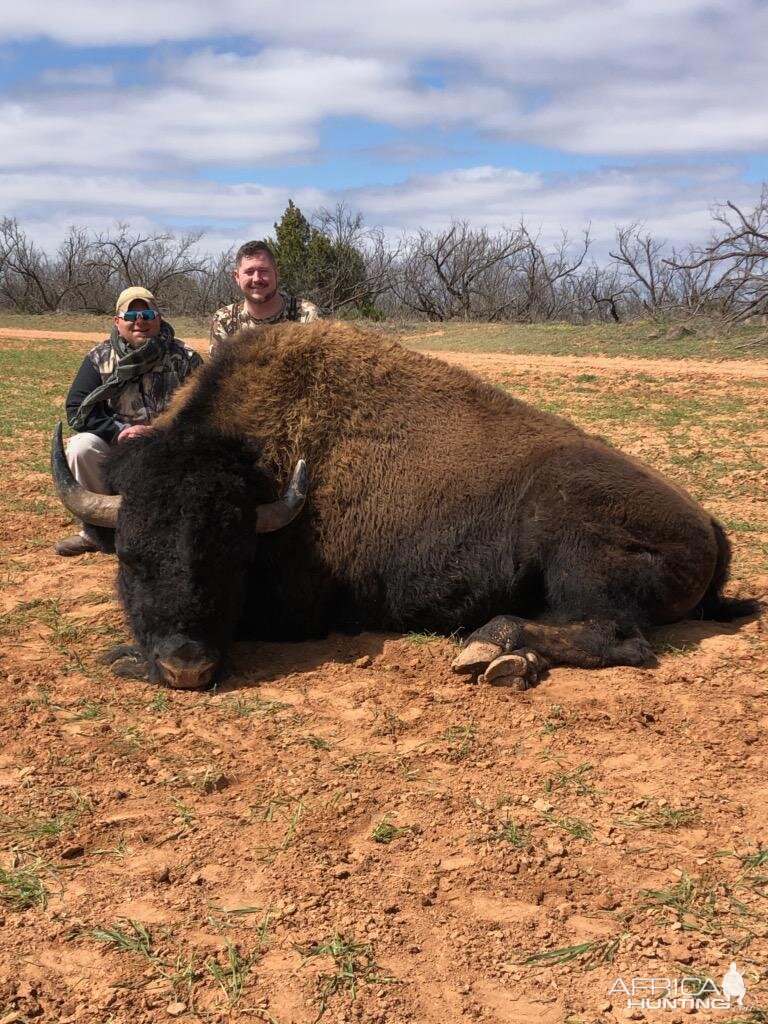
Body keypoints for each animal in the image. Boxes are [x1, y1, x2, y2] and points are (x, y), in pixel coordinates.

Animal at [52, 319, 757, 688]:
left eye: (233, 557)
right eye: (130, 558)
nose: (186, 666)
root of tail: (708, 524)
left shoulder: (298, 613)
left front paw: (122, 657)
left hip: (577, 551)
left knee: (619, 636)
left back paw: (488, 647)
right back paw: (508, 658)